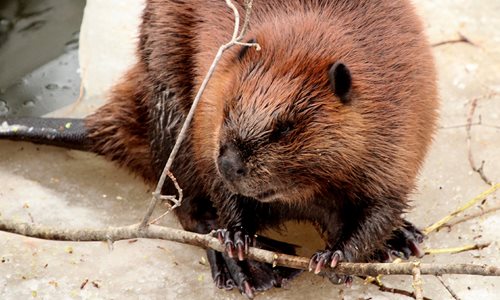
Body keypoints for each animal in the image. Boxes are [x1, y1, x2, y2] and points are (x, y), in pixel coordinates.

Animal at [0, 0, 436, 296]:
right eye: (228, 107)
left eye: (284, 128)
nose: (229, 163)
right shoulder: (208, 106)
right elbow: (219, 193)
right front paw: (238, 241)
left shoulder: (396, 135)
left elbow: (380, 207)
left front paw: (337, 256)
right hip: (168, 96)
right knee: (189, 207)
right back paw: (251, 269)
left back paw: (401, 239)